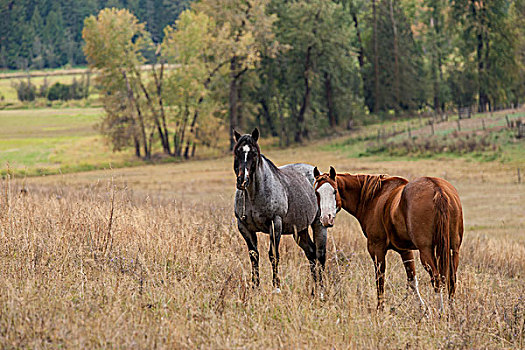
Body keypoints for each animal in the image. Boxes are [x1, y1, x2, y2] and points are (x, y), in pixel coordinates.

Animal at [232, 128, 326, 292]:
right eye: (237, 152)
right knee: (311, 253)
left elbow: (273, 255)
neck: (254, 194)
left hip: (318, 224)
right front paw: (255, 287)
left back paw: (321, 288)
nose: (242, 181)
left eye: (254, 153)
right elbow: (254, 256)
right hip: (300, 230)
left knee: (320, 255)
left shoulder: (275, 224)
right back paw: (314, 288)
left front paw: (276, 287)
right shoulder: (244, 227)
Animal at [312, 167, 462, 312]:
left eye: (335, 191)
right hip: (453, 250)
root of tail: (437, 189)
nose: (326, 219)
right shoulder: (405, 251)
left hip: (426, 252)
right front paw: (423, 309)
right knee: (451, 279)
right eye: (316, 193)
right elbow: (412, 280)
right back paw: (451, 311)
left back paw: (441, 312)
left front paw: (380, 309)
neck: (374, 198)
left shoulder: (376, 249)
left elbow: (380, 281)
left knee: (437, 280)